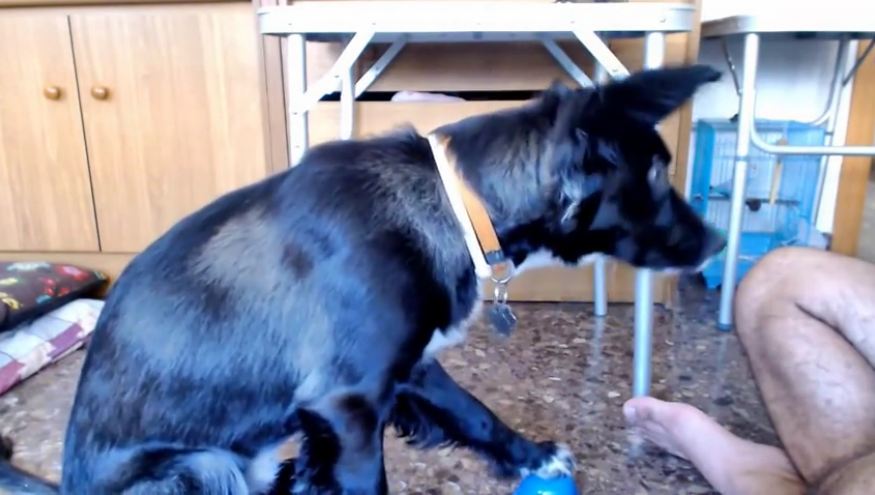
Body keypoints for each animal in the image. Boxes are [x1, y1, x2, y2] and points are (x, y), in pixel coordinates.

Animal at [0, 64, 724, 494]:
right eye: (654, 174)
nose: (718, 244)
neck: (454, 202)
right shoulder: (347, 403)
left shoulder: (410, 364)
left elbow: (475, 410)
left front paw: (531, 455)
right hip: (201, 464)